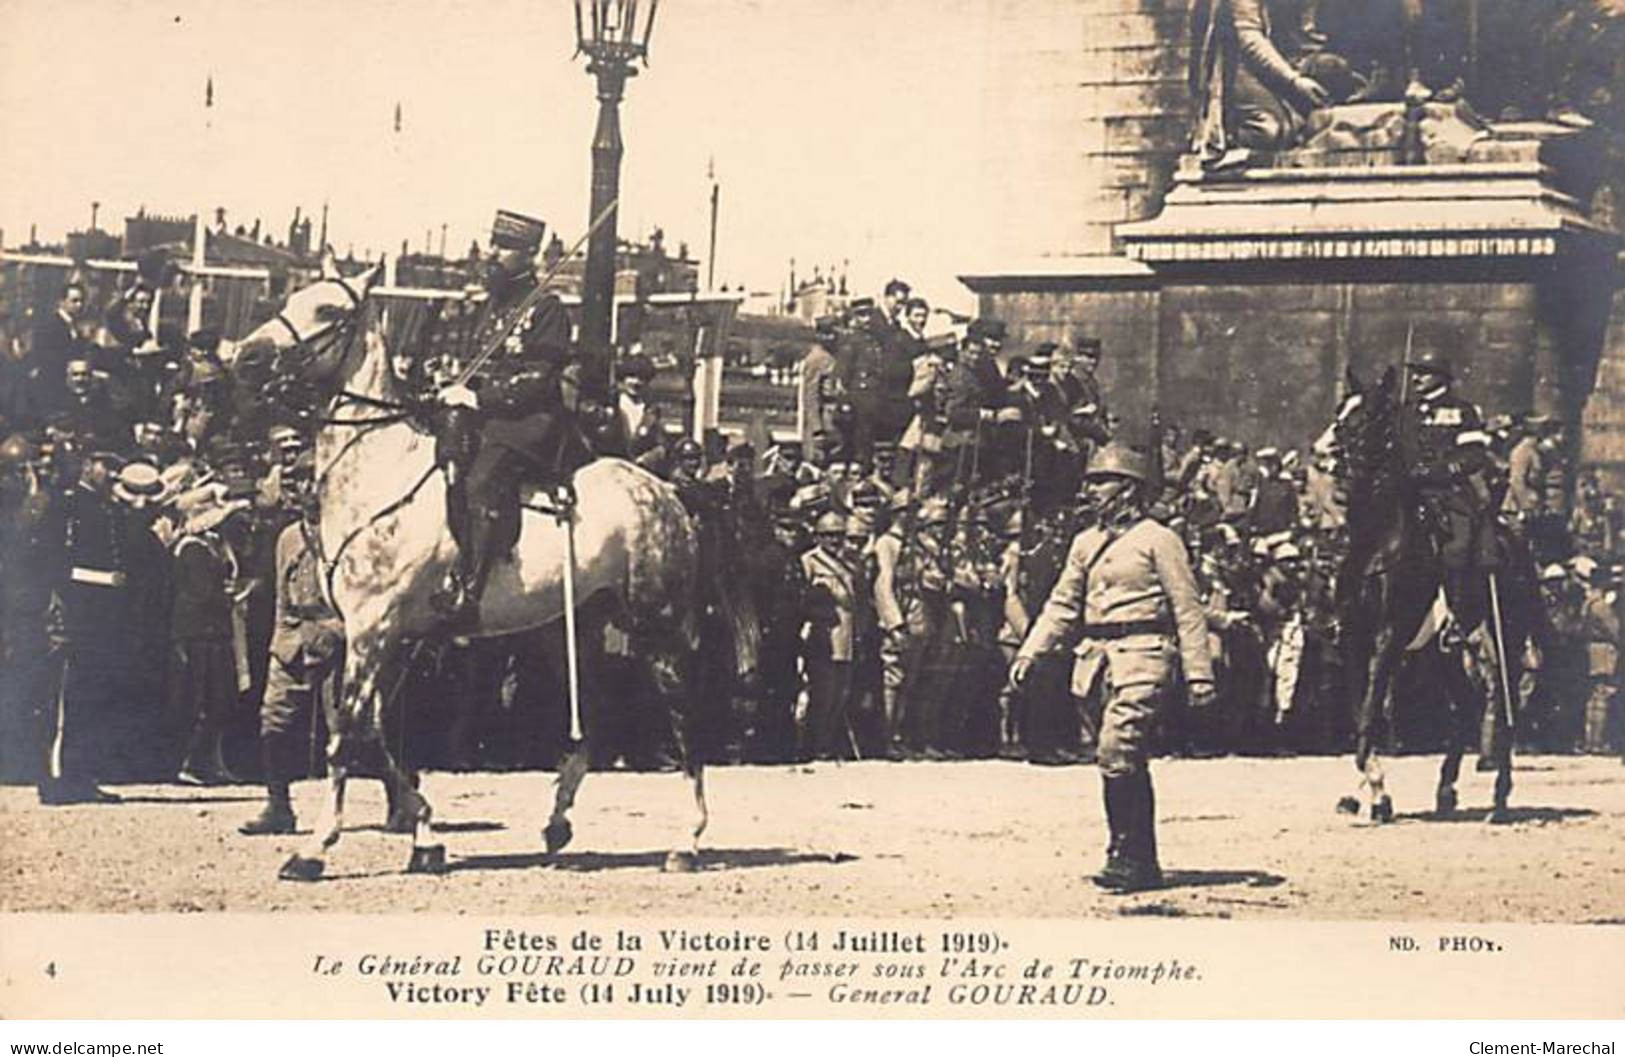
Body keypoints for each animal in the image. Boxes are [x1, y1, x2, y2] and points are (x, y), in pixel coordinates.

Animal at [1319, 365, 1534, 819]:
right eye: (1340, 409)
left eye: (1370, 416)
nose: (1323, 452)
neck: (1378, 540)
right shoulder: (1353, 637)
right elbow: (1361, 707)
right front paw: (1373, 789)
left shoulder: (1388, 636)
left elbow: (1370, 709)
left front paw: (1370, 783)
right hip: (1443, 656)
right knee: (1465, 710)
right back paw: (1447, 789)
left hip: (1503, 638)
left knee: (1505, 708)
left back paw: (1500, 798)